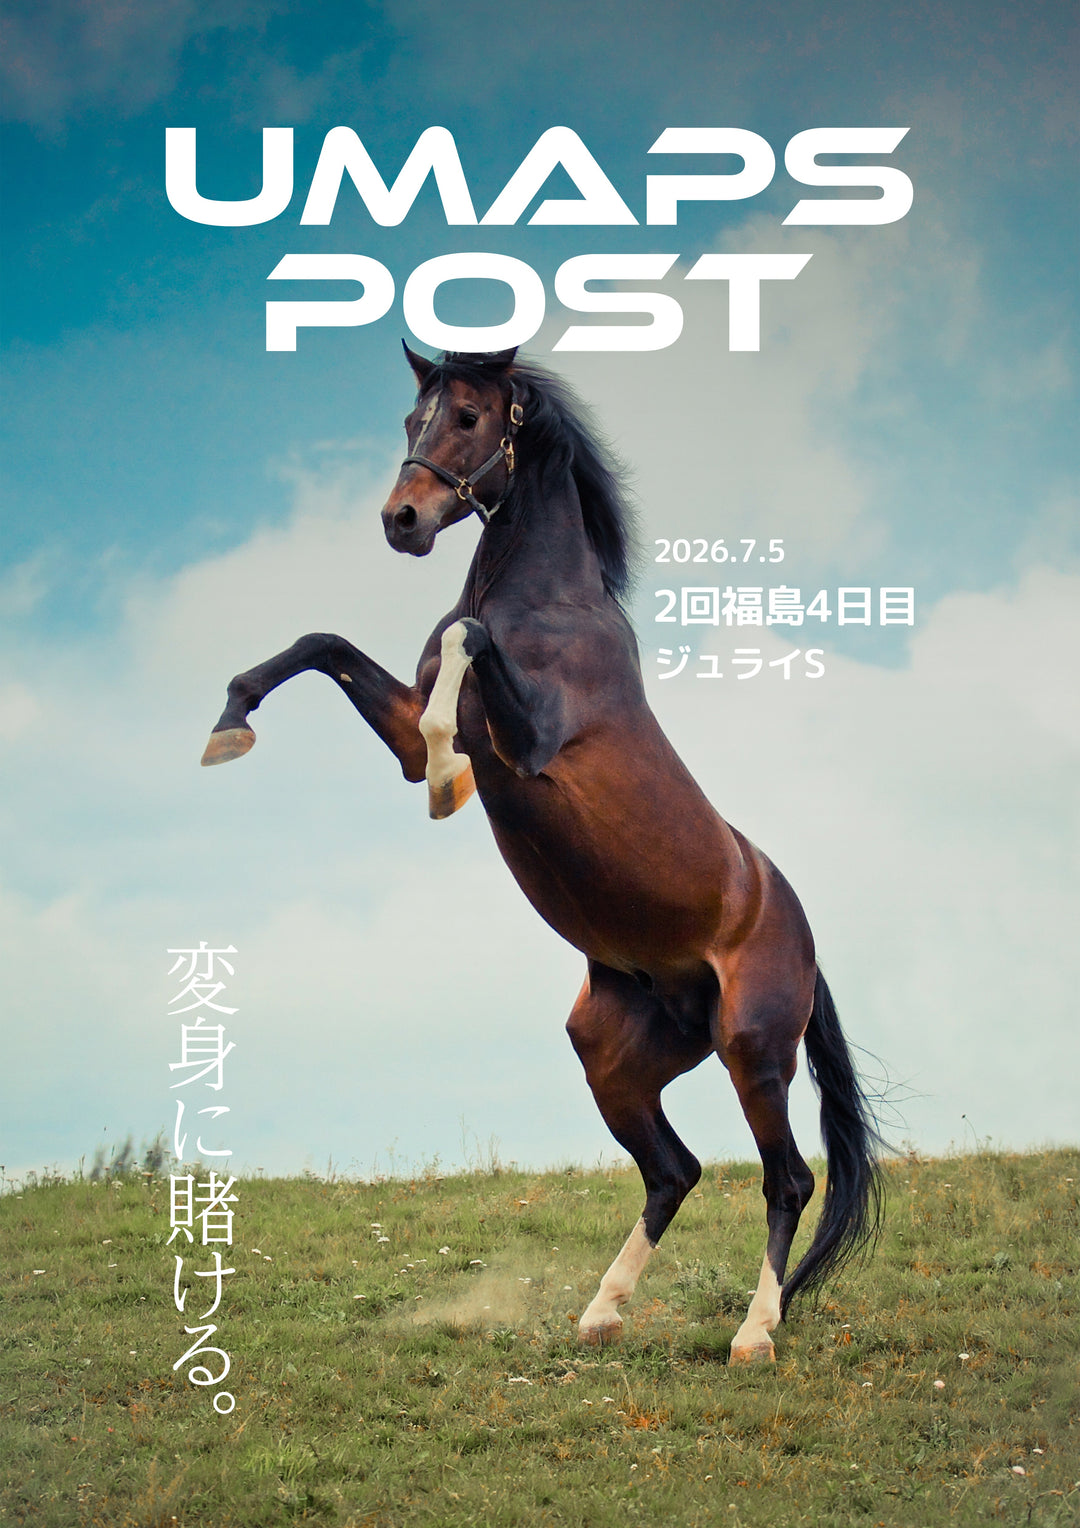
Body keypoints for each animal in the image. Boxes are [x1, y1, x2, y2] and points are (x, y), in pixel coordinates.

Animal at [201, 343, 883, 1362]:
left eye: (471, 417)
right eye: (412, 419)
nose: (402, 521)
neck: (545, 605)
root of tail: (803, 941)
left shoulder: (527, 746)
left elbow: (464, 640)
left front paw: (451, 783)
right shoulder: (399, 727)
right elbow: (326, 644)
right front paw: (230, 726)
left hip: (753, 1049)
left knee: (787, 1179)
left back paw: (754, 1334)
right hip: (614, 1055)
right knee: (674, 1171)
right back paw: (601, 1311)